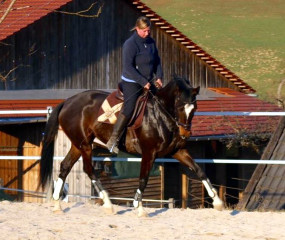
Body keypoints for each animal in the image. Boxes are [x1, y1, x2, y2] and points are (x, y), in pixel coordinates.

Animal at [38, 77, 223, 216]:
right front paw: (139, 207)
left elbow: (199, 170)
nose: (185, 133)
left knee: (65, 166)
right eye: (179, 107)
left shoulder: (178, 151)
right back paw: (108, 204)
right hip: (85, 145)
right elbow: (143, 178)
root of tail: (67, 102)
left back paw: (57, 205)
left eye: (194, 108)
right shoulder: (149, 153)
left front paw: (217, 201)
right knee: (88, 169)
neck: (161, 115)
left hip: (78, 145)